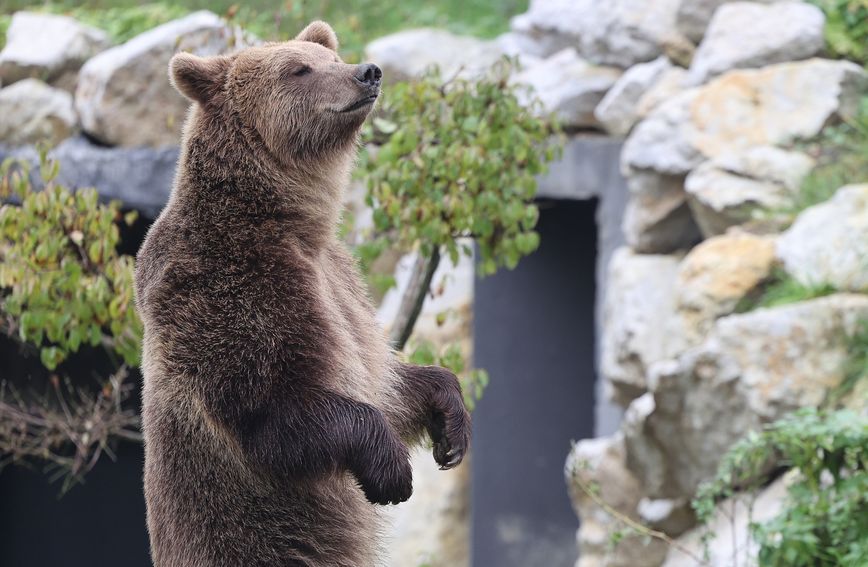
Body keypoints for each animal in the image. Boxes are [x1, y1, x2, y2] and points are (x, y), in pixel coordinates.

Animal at [135, 21, 472, 567]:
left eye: (329, 56)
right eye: (298, 69)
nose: (367, 72)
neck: (287, 217)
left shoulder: (339, 282)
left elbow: (385, 382)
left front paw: (451, 425)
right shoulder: (229, 283)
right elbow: (270, 409)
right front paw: (392, 470)